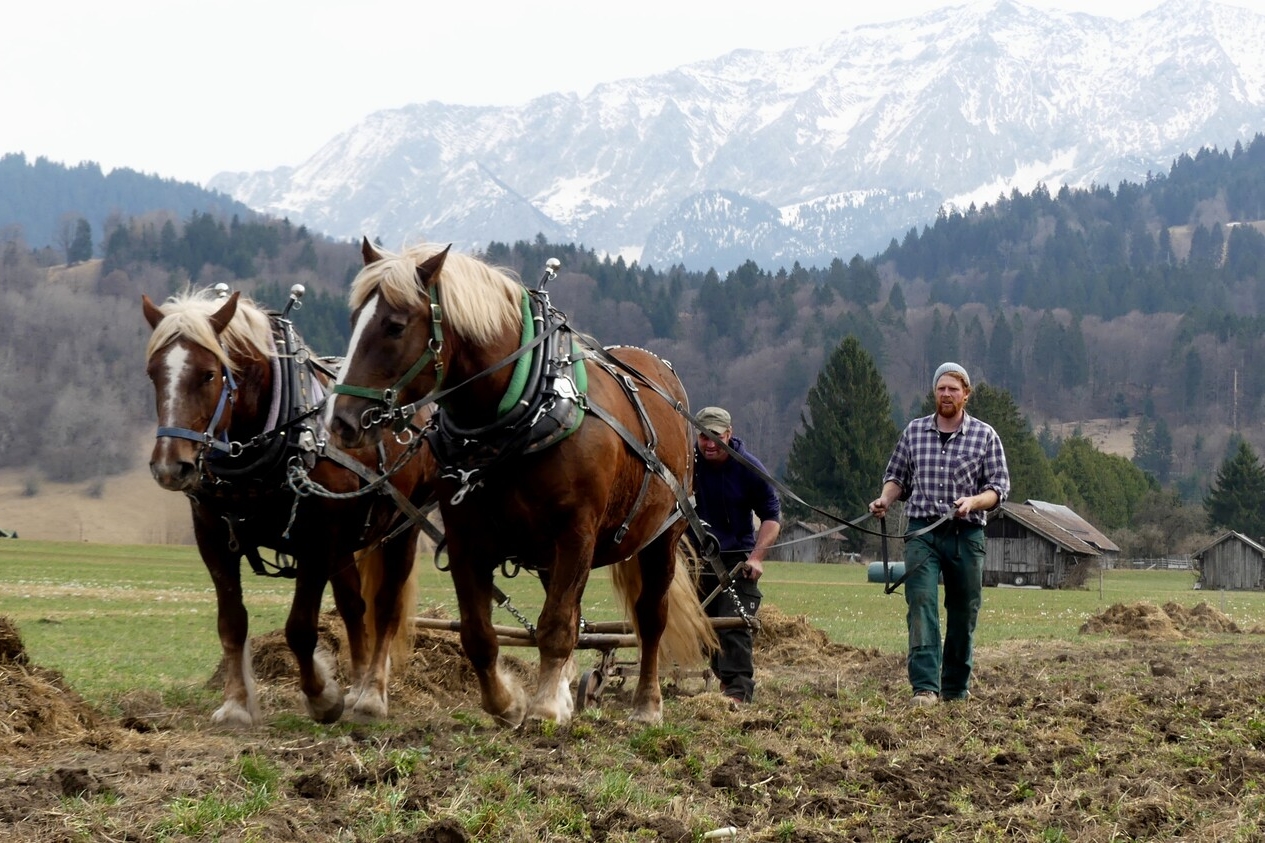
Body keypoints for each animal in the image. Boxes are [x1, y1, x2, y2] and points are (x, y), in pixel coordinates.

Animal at [144, 287, 435, 724]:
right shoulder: (212, 535)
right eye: (153, 373)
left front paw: (322, 697)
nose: (169, 466)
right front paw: (235, 705)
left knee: (385, 606)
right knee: (354, 606)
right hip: (345, 545)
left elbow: (300, 628)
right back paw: (358, 684)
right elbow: (231, 622)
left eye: (209, 374)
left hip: (404, 526)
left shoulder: (317, 539)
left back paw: (371, 696)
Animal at [326, 241, 718, 724]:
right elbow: (479, 634)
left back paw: (646, 704)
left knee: (650, 618)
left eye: (395, 325)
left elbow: (556, 627)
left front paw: (544, 709)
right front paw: (508, 703)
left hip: (663, 536)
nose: (341, 422)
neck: (524, 412)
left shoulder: (576, 535)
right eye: (354, 320)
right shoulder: (466, 541)